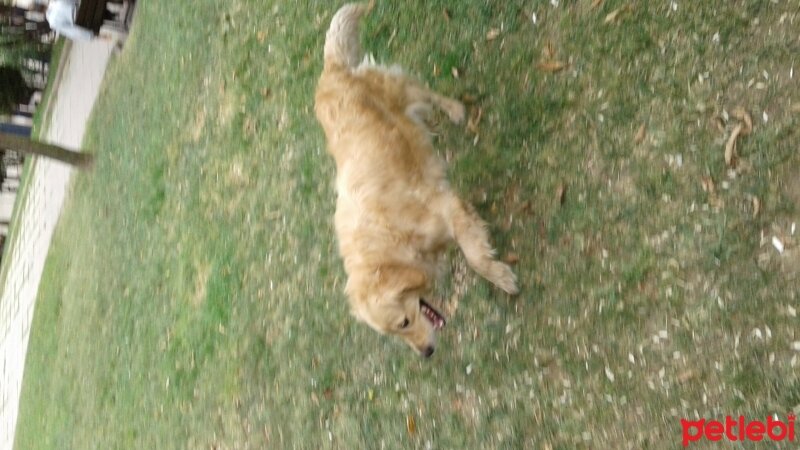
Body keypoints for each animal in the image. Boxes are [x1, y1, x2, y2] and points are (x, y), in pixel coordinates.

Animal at [312, 1, 520, 356]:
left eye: (404, 322)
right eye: (397, 332)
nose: (426, 354)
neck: (390, 237)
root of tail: (331, 71)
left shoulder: (447, 206)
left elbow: (476, 258)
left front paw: (501, 277)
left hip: (401, 92)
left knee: (427, 93)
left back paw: (455, 110)